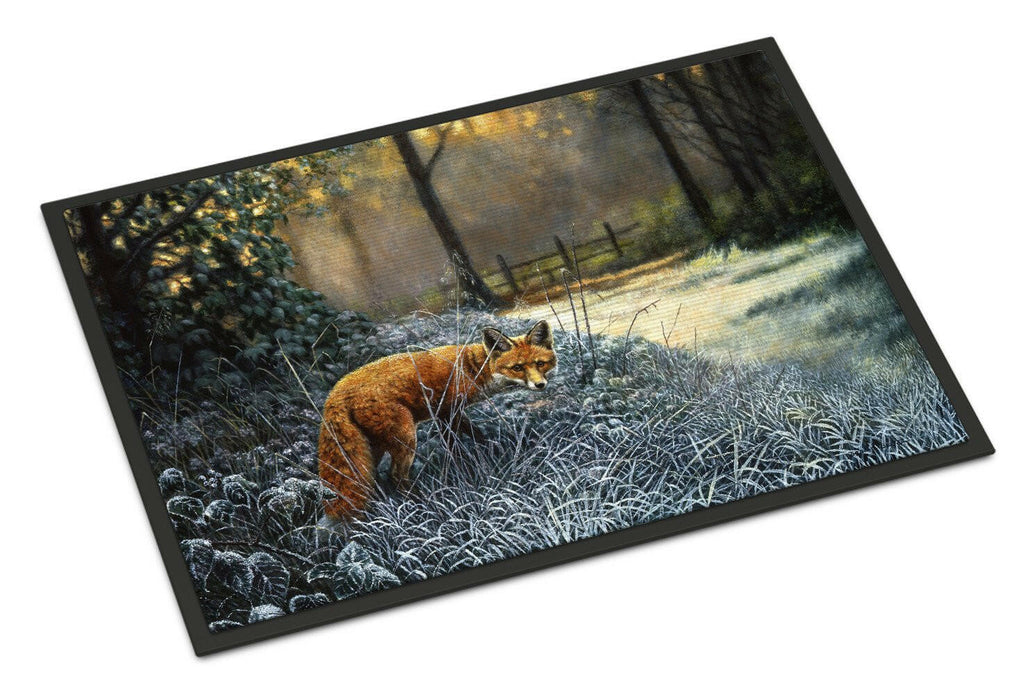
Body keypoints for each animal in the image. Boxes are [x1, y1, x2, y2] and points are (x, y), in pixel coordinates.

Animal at [318, 320, 557, 520]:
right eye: (517, 367)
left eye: (540, 364)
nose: (540, 385)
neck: (471, 368)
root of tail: (335, 393)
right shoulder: (448, 413)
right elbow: (459, 444)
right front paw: (467, 467)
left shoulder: (445, 415)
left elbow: (473, 436)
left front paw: (490, 450)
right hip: (406, 439)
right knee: (395, 476)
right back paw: (420, 505)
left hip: (372, 450)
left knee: (373, 481)